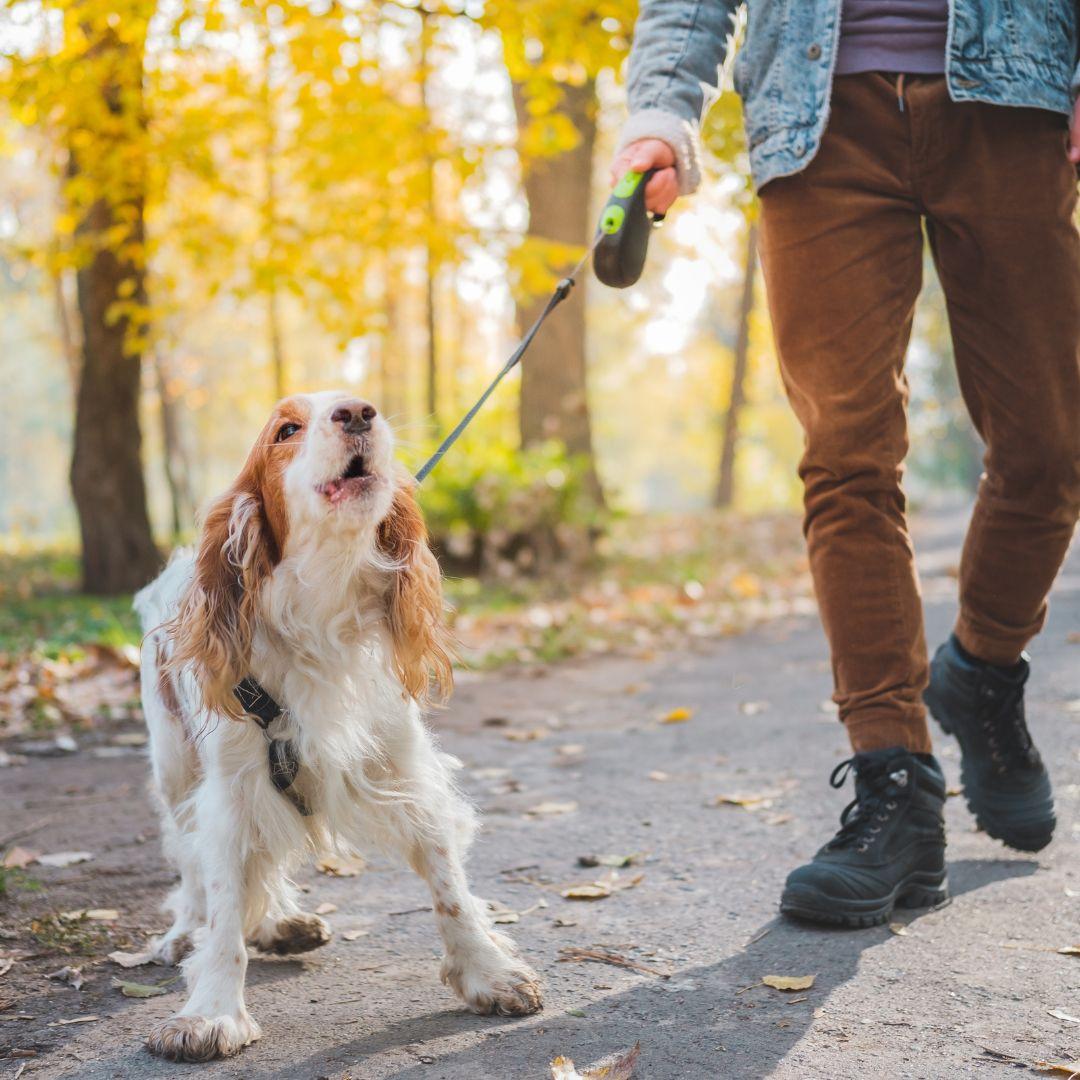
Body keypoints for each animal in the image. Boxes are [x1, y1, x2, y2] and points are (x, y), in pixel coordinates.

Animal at [132, 390, 540, 1062]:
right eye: (286, 429)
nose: (357, 412)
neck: (321, 608)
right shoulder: (231, 791)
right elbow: (223, 907)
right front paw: (211, 1012)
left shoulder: (404, 769)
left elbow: (449, 886)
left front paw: (488, 970)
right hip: (174, 768)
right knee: (191, 864)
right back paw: (186, 931)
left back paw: (281, 922)